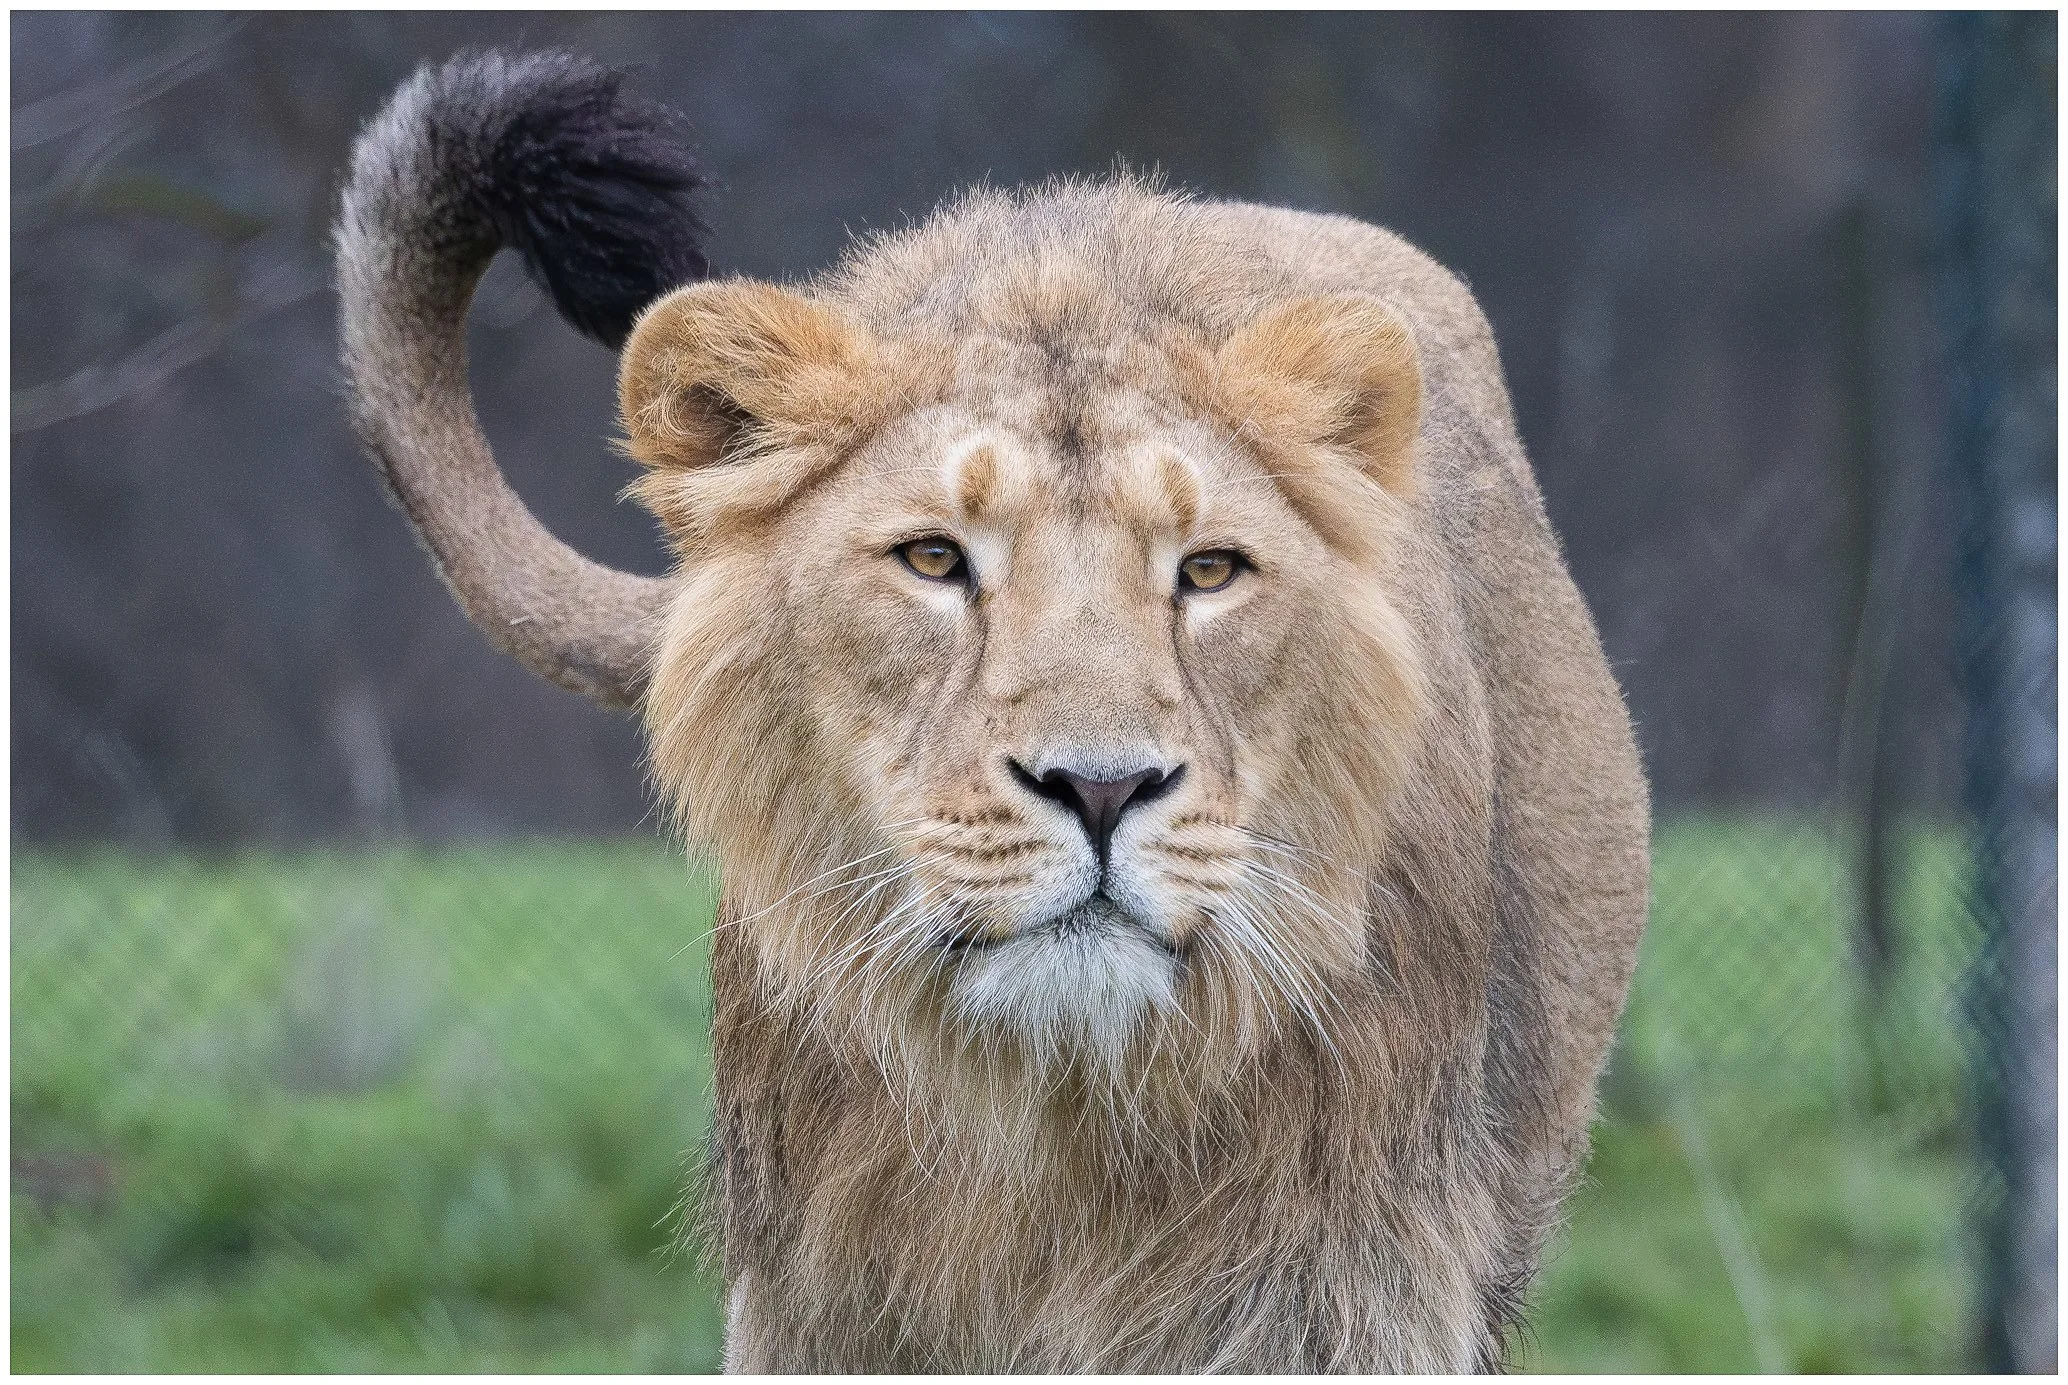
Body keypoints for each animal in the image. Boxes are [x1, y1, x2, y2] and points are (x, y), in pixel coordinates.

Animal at [336, 51, 1650, 1372]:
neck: (1052, 1125)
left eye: (1209, 570)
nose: (1103, 787)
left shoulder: (1339, 1290)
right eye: (932, 558)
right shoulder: (817, 1299)